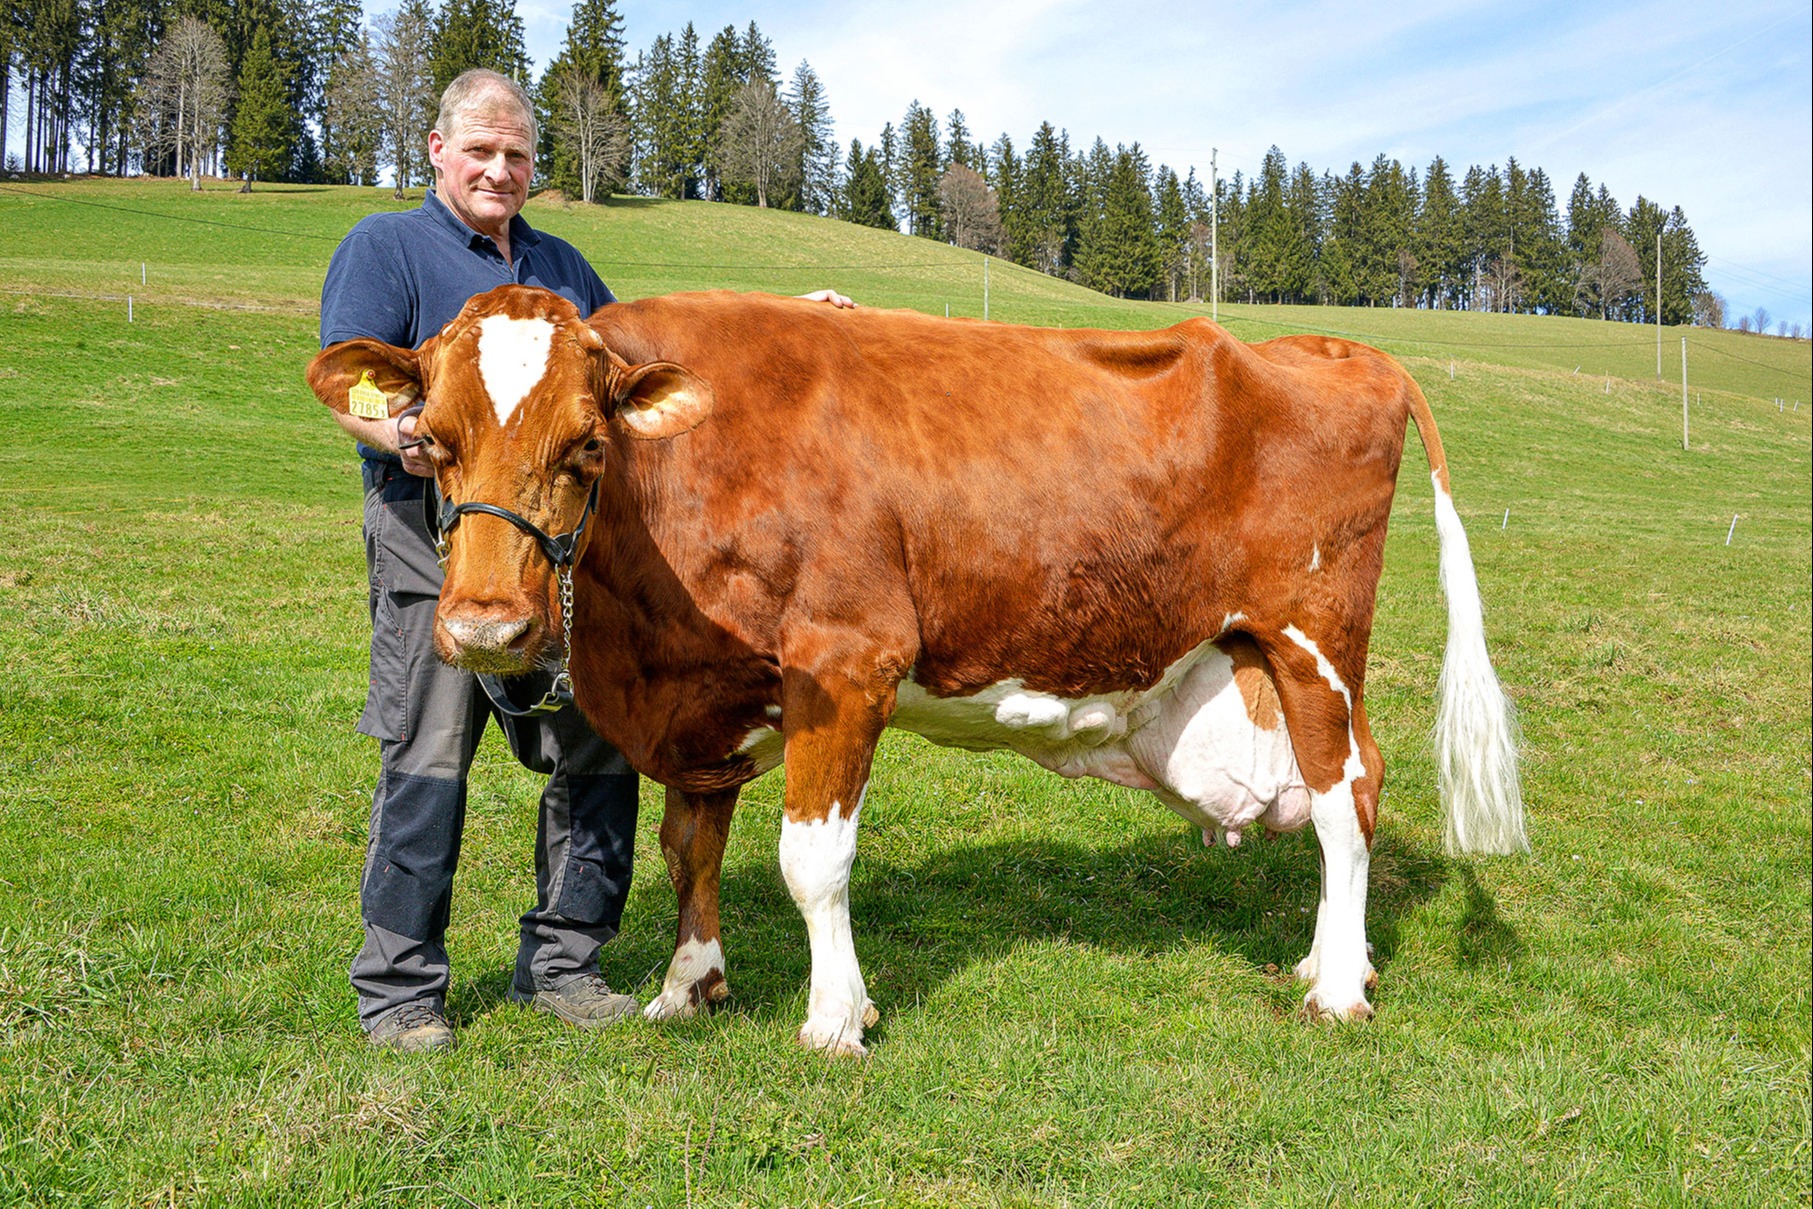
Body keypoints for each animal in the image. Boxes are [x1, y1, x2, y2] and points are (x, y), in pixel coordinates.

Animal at [304, 284, 1522, 1058]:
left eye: (585, 445)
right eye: (432, 439)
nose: (486, 625)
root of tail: (1334, 348)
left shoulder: (846, 663)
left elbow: (813, 862)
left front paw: (836, 1018)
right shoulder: (711, 696)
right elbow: (690, 843)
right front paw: (687, 987)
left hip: (1313, 642)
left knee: (1344, 803)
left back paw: (1336, 987)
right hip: (1261, 653)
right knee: (1350, 784)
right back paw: (1335, 966)